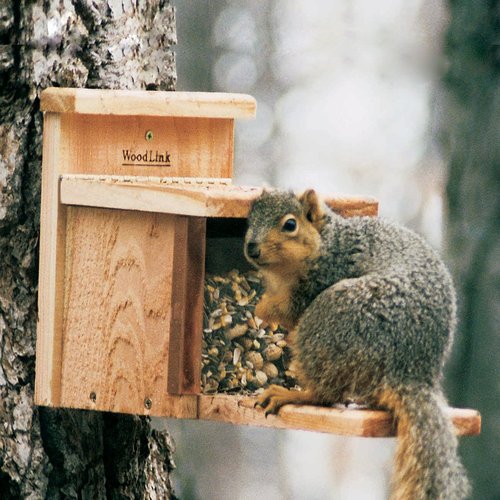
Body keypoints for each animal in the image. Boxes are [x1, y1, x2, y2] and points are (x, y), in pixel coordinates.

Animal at [244, 188, 470, 500]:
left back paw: (292, 395)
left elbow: (287, 310)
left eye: (290, 224)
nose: (251, 248)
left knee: (326, 394)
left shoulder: (322, 277)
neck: (327, 241)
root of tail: (411, 371)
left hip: (332, 316)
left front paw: (262, 307)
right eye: (248, 220)